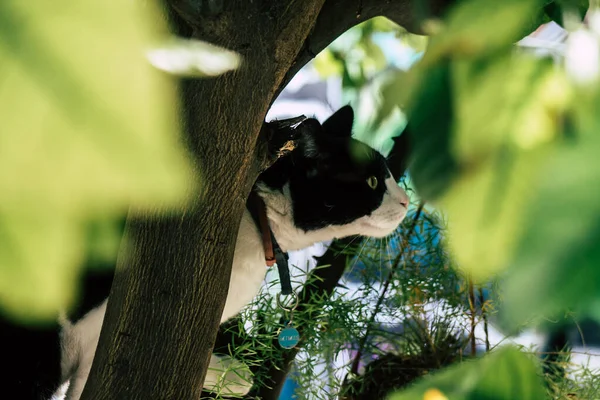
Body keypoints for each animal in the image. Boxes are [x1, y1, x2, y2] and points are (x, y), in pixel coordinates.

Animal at [1, 104, 408, 398]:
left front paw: (233, 374)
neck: (254, 221)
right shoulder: (92, 336)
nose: (406, 201)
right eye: (373, 181)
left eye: (388, 173)